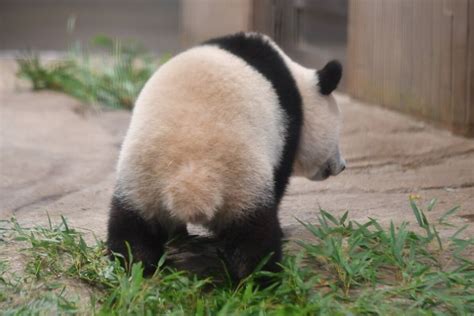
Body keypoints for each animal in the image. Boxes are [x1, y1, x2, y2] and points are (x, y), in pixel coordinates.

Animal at [106, 32, 344, 282]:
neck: (297, 81)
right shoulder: (287, 123)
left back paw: (134, 267)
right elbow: (280, 177)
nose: (341, 166)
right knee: (254, 238)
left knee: (130, 229)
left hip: (140, 182)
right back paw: (262, 278)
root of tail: (192, 180)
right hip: (243, 184)